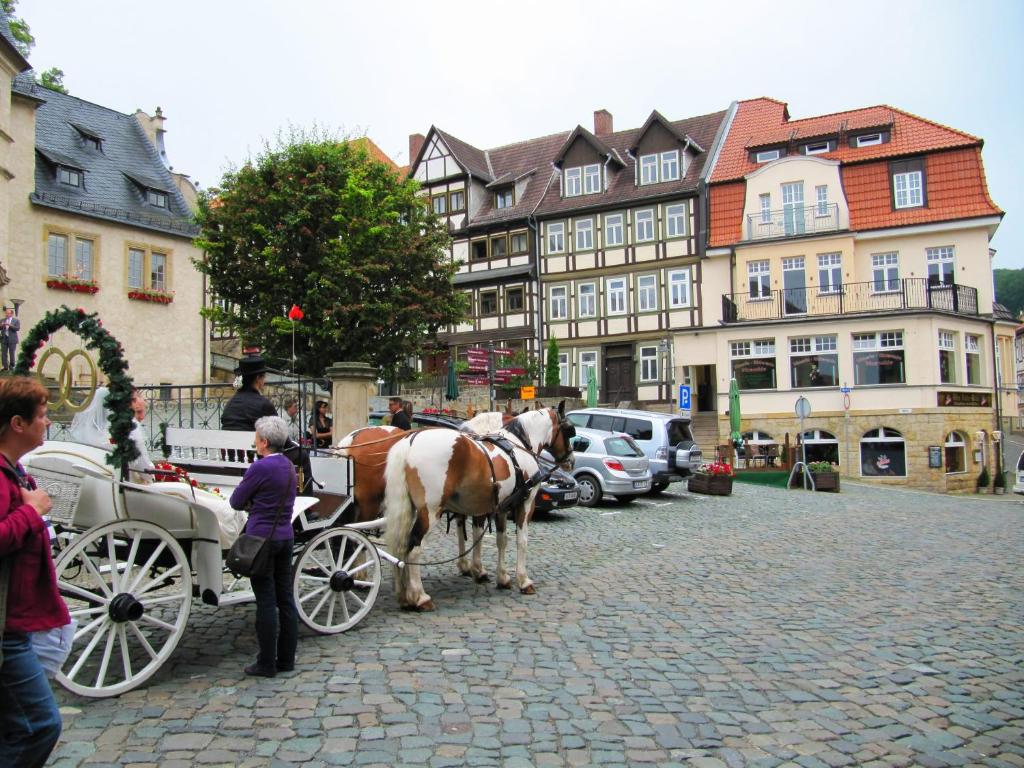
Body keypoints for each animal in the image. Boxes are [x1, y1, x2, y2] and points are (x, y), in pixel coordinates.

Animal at [385, 405, 577, 610]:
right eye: (569, 430)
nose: (571, 460)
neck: (520, 445)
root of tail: (409, 442)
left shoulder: (502, 508)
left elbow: (501, 540)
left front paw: (502, 578)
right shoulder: (526, 503)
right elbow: (521, 541)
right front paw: (523, 581)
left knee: (402, 547)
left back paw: (405, 596)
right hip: (430, 512)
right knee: (414, 549)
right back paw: (420, 597)